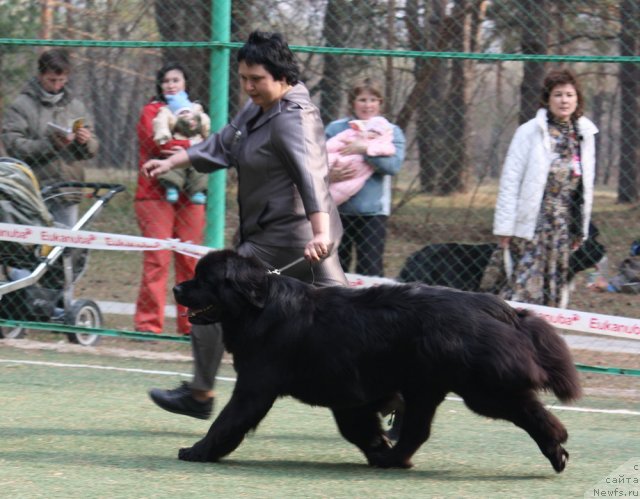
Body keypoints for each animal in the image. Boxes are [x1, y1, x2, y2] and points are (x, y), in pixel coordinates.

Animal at [172, 250, 584, 472]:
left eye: (203, 279)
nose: (176, 287)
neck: (259, 309)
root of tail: (498, 306)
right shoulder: (348, 396)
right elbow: (359, 428)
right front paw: (379, 450)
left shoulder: (256, 387)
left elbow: (228, 421)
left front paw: (197, 452)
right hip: (426, 388)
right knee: (419, 430)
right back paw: (394, 460)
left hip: (479, 388)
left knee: (530, 410)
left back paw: (557, 445)